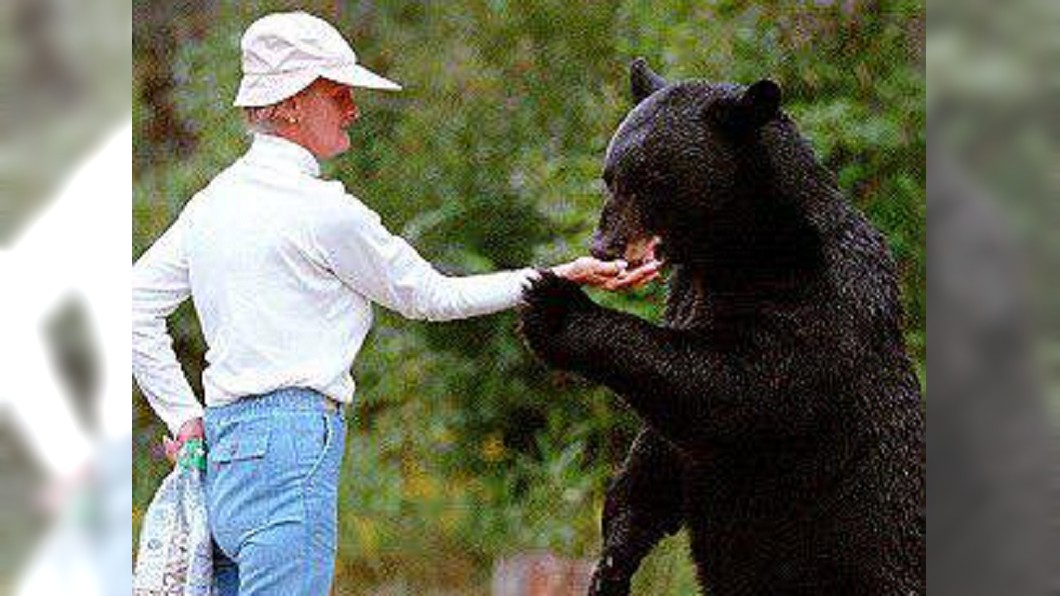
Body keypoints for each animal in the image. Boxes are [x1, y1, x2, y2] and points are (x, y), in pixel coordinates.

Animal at [519, 59, 925, 595]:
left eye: (652, 179)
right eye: (611, 176)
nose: (604, 246)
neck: (738, 250)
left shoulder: (815, 298)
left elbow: (738, 387)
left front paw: (554, 306)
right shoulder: (687, 291)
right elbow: (661, 451)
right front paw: (613, 557)